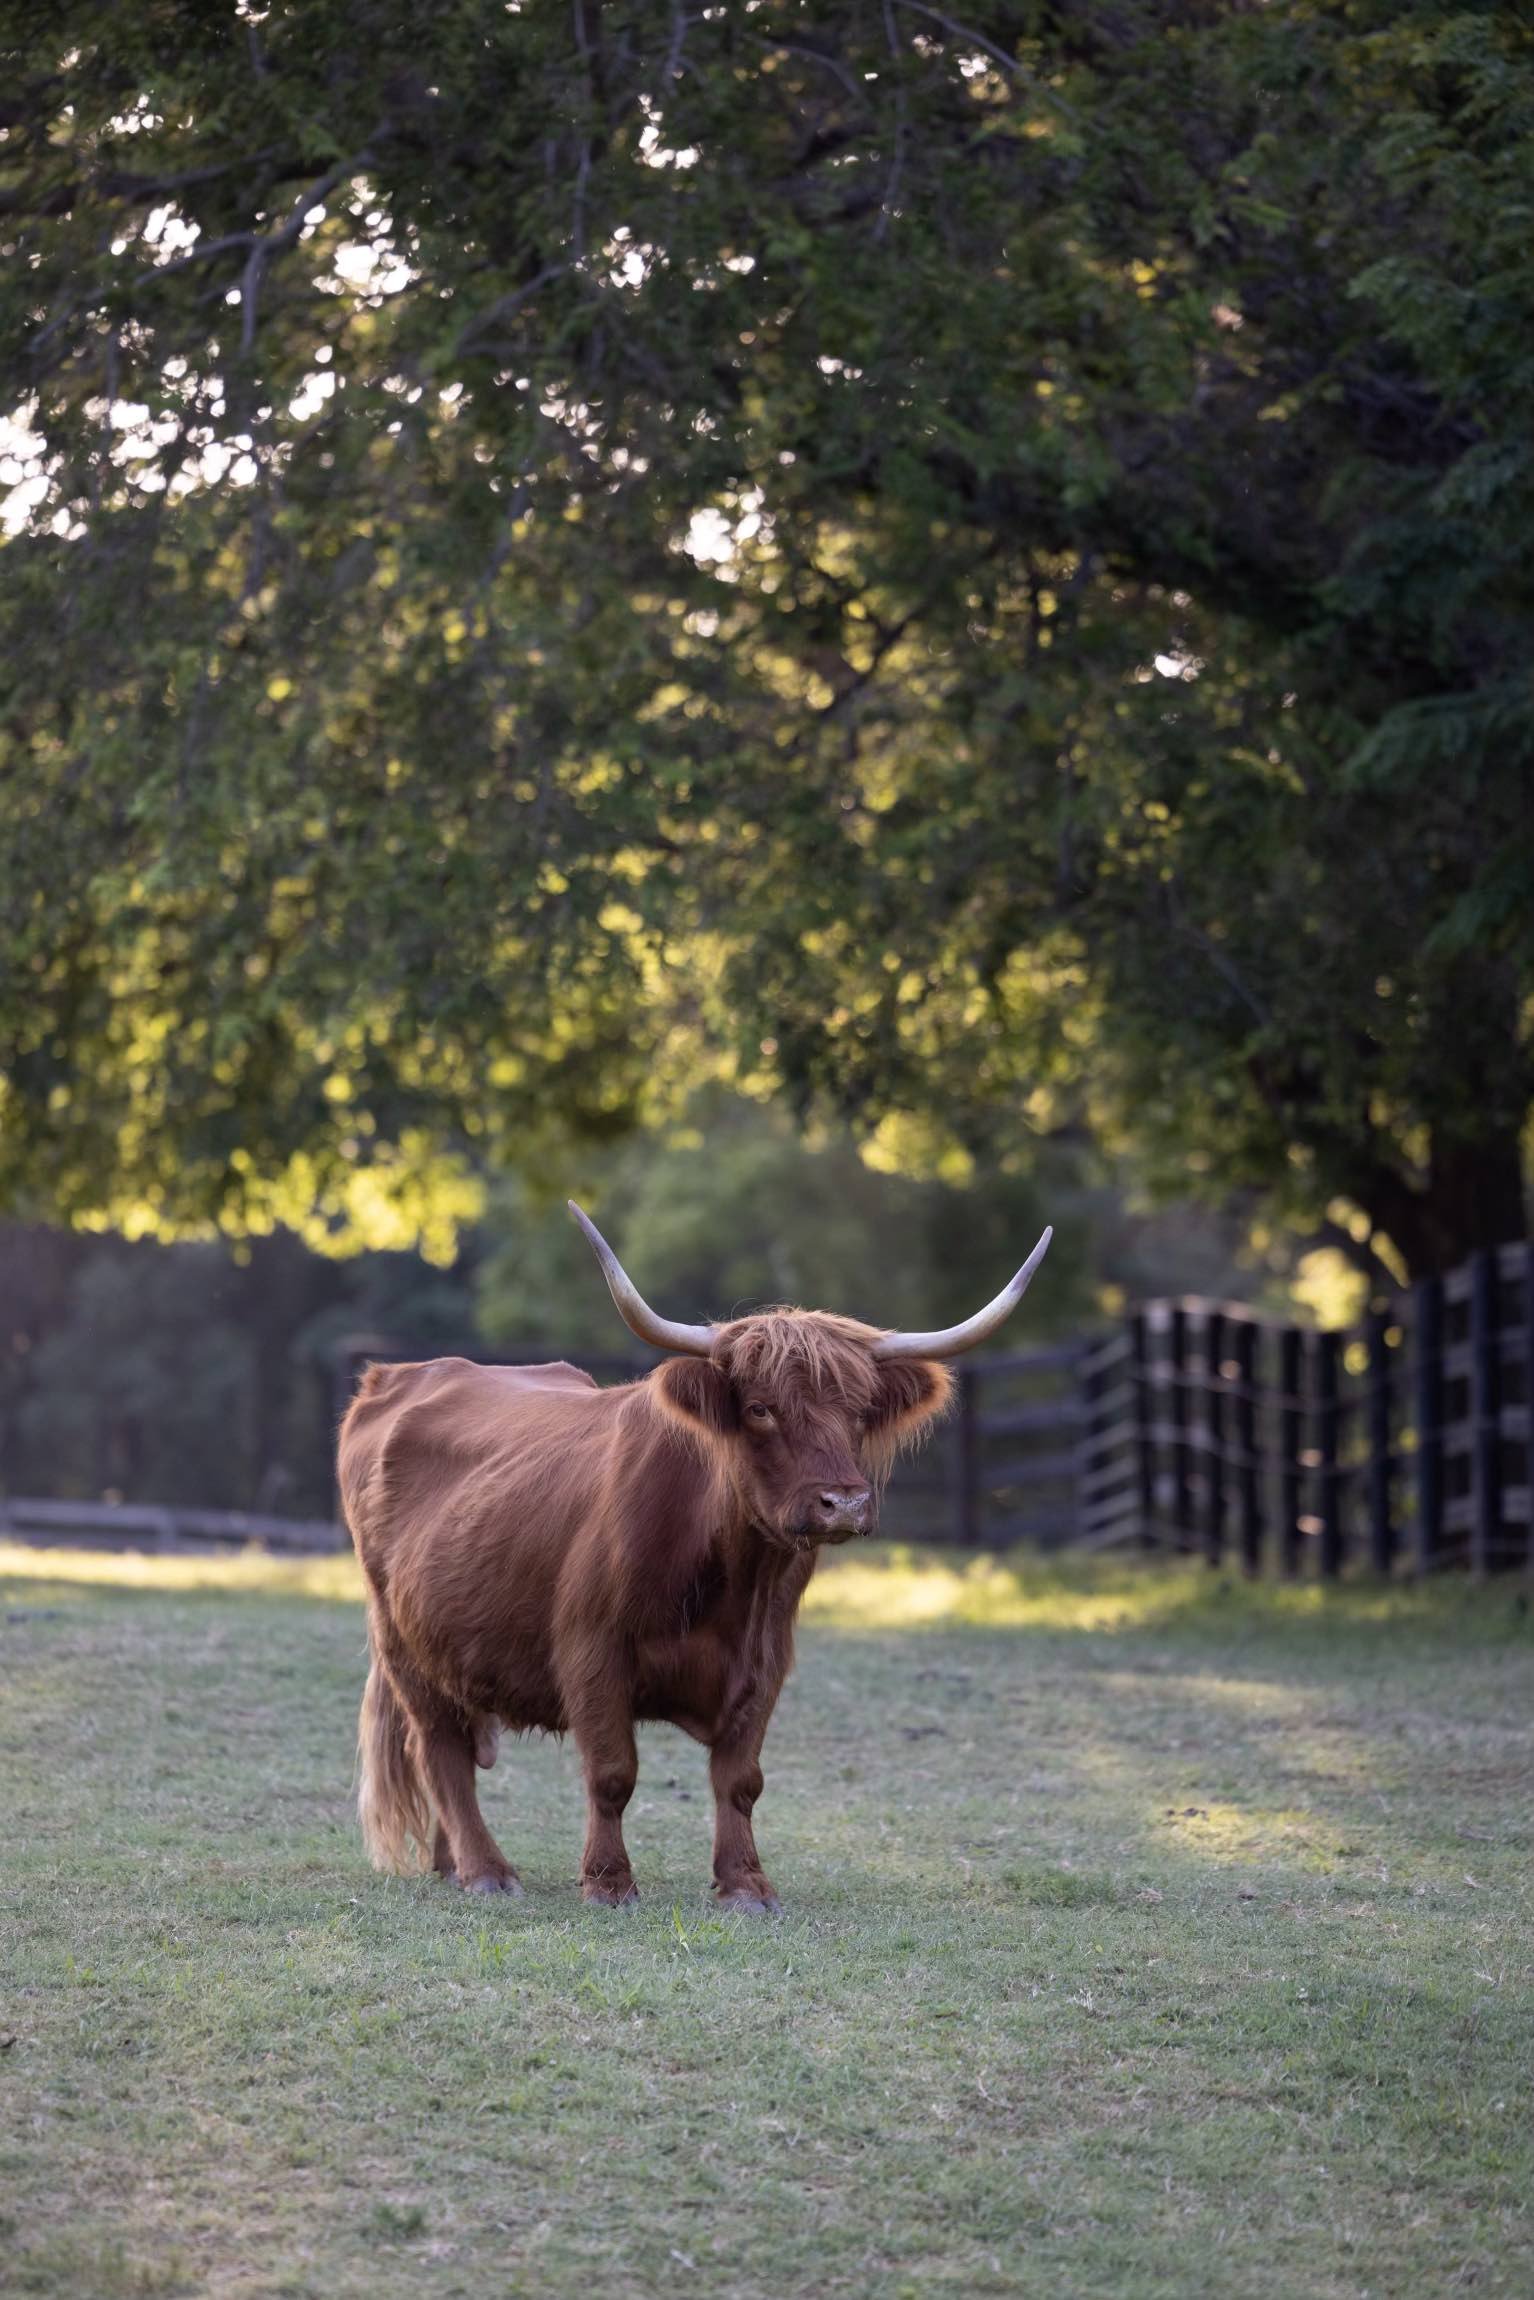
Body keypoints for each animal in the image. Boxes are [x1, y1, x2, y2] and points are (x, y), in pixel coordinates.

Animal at [340, 1205, 1048, 1904]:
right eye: (760, 1409)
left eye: (858, 1412)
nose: (843, 1503)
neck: (730, 1583)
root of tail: (399, 1375)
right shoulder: (591, 1651)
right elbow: (613, 1772)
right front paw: (608, 1882)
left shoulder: (766, 1658)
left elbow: (740, 1779)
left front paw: (745, 1883)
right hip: (404, 1644)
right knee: (441, 1752)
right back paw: (487, 1871)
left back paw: (451, 1864)